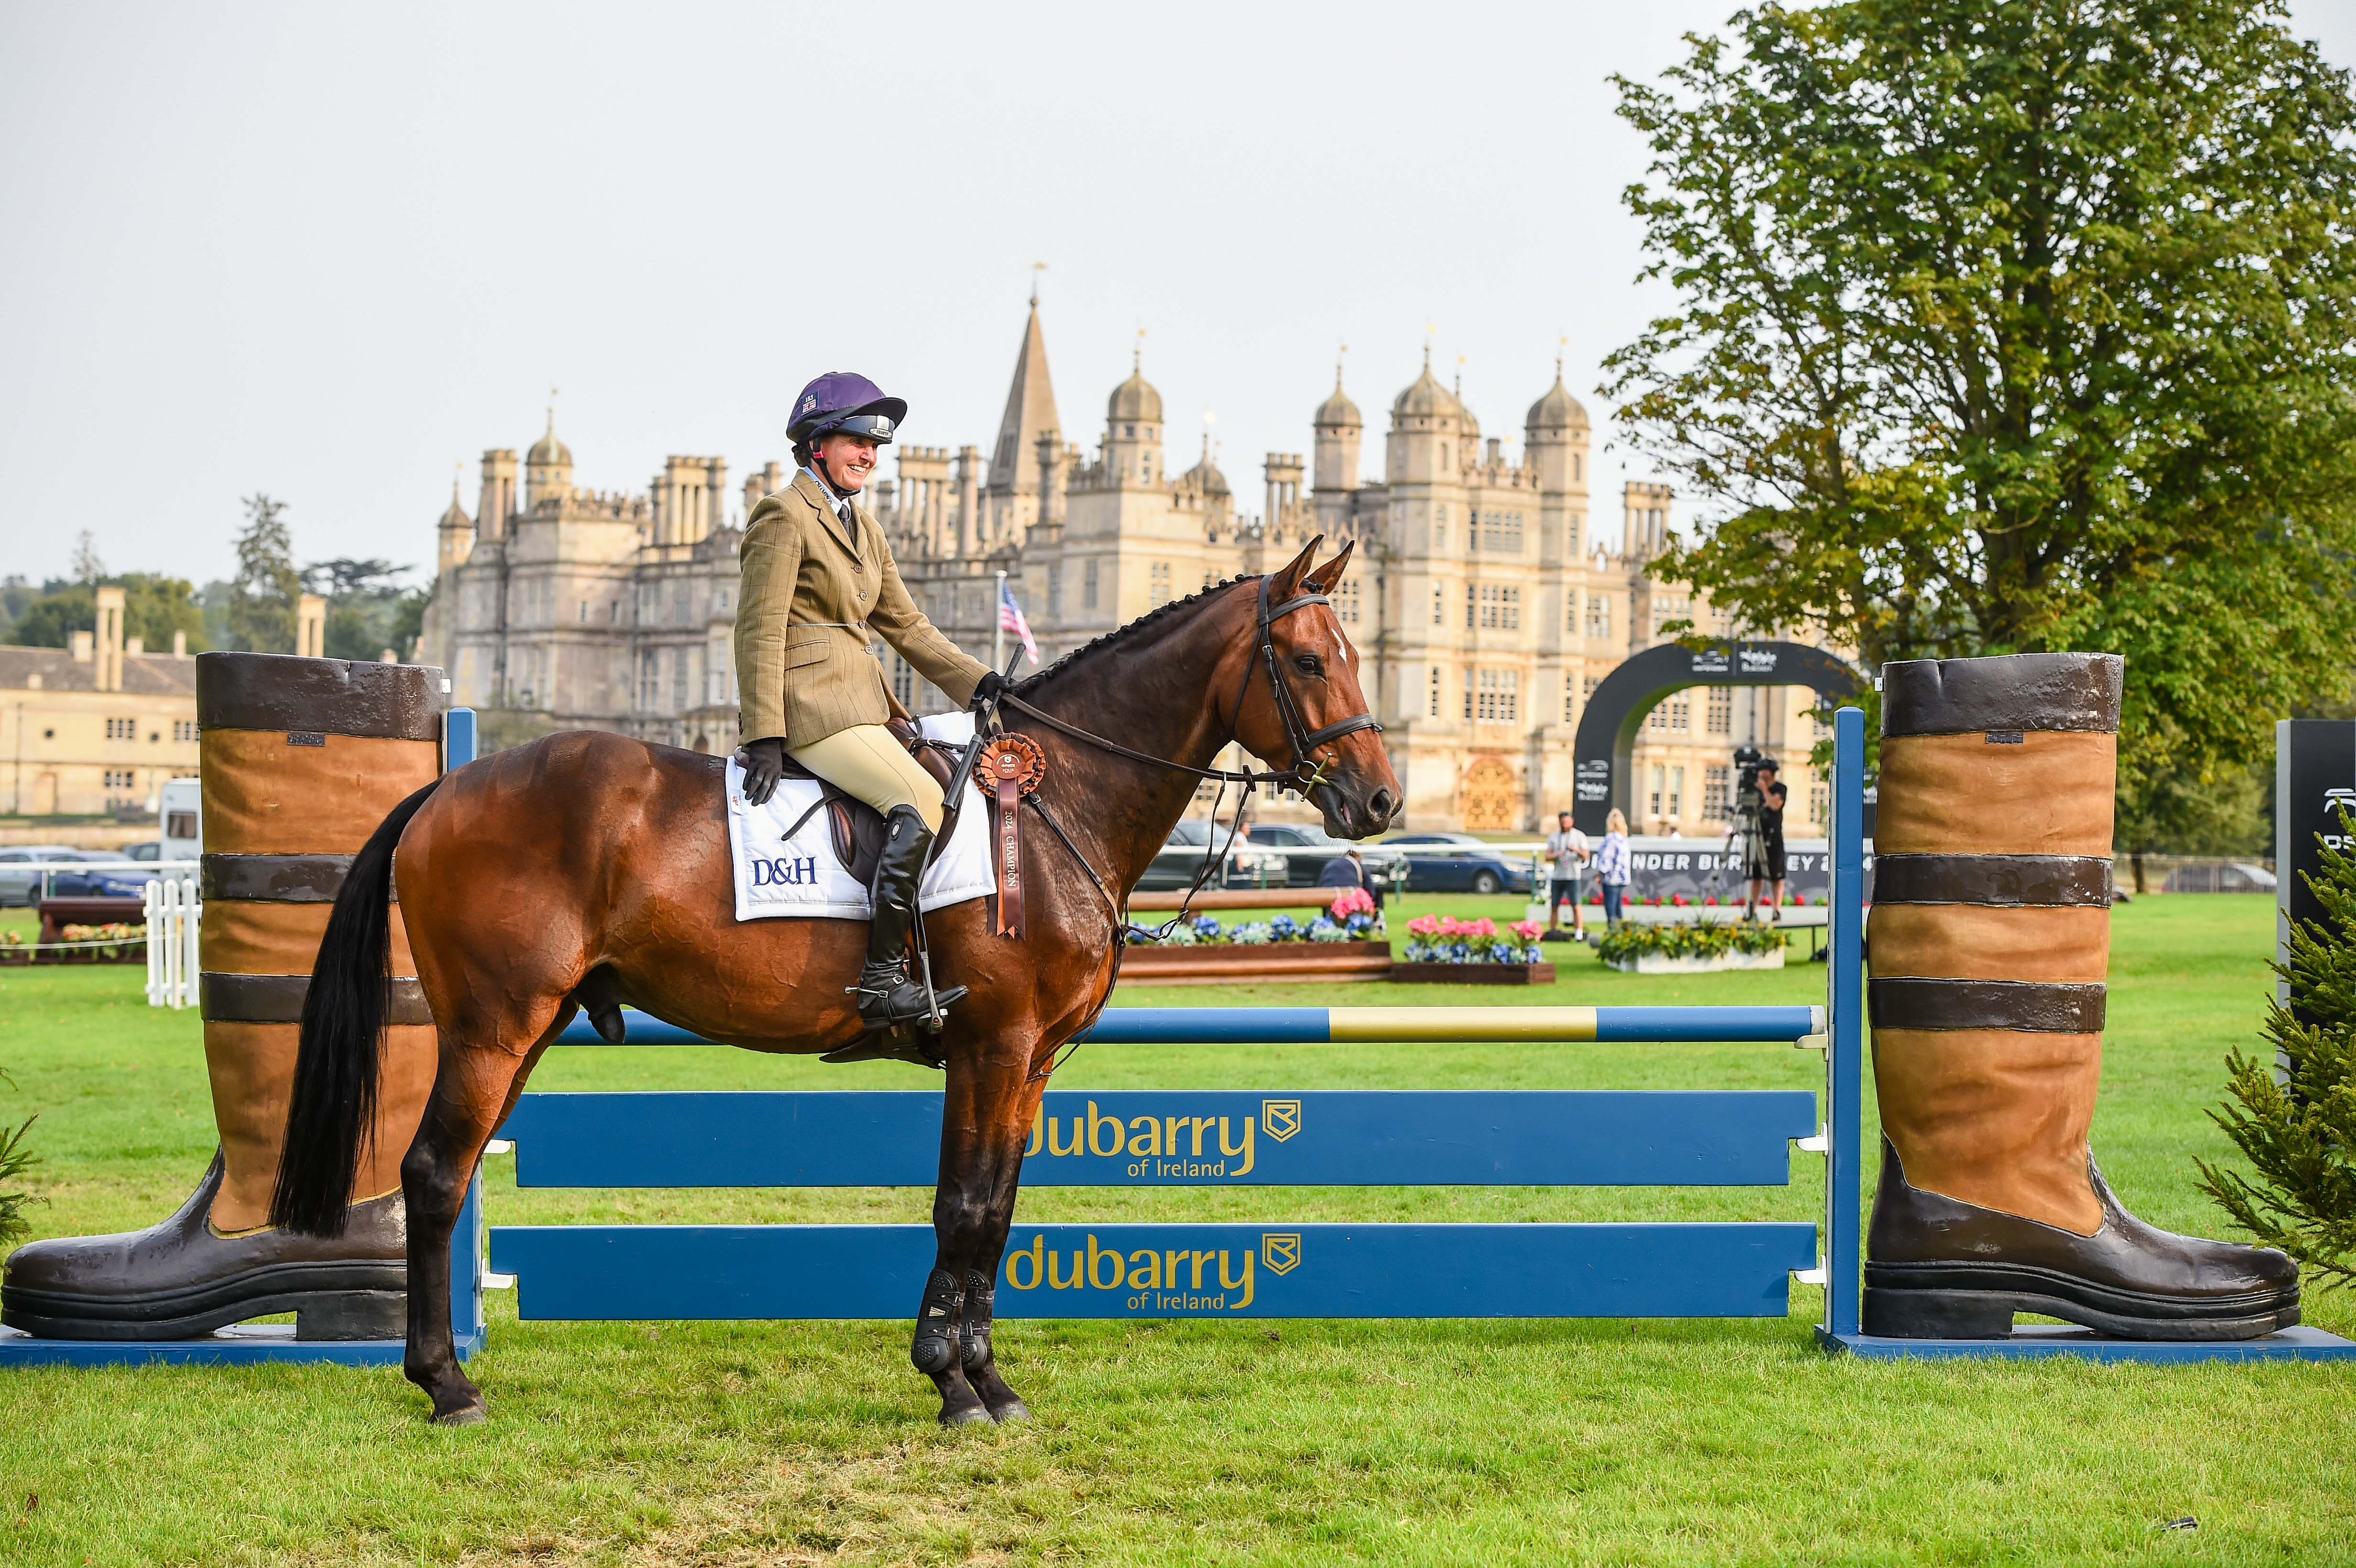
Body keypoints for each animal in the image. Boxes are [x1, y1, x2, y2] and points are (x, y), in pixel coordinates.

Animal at [270, 537, 1401, 1426]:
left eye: (1356, 655)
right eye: (1309, 660)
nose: (1380, 801)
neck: (1052, 802)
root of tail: (447, 787)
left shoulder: (1030, 1061)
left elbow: (997, 1208)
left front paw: (989, 1380)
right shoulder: (992, 1043)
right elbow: (963, 1206)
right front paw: (951, 1383)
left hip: (528, 1028)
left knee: (453, 1173)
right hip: (493, 1025)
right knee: (433, 1173)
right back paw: (447, 1385)